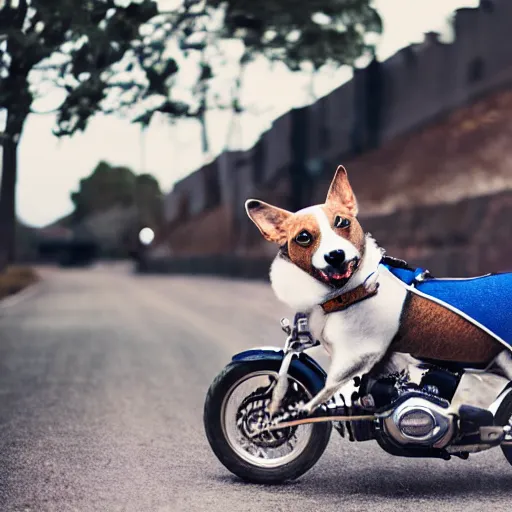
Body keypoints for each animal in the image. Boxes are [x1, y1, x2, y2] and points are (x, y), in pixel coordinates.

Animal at [245, 166, 512, 414]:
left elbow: (323, 393)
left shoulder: (355, 356)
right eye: (303, 237)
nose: (335, 255)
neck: (356, 290)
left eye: (342, 222)